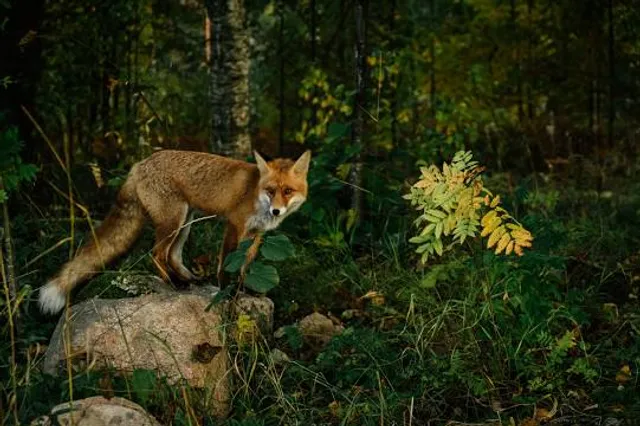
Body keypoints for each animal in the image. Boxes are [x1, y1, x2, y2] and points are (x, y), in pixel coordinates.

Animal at [38, 149, 311, 314]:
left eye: (287, 191)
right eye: (270, 191)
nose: (276, 211)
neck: (255, 192)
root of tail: (139, 164)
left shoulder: (256, 235)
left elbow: (246, 266)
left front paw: (247, 290)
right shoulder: (234, 226)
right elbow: (226, 265)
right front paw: (227, 292)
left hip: (185, 222)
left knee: (173, 255)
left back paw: (188, 279)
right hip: (173, 221)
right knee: (156, 254)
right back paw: (173, 283)